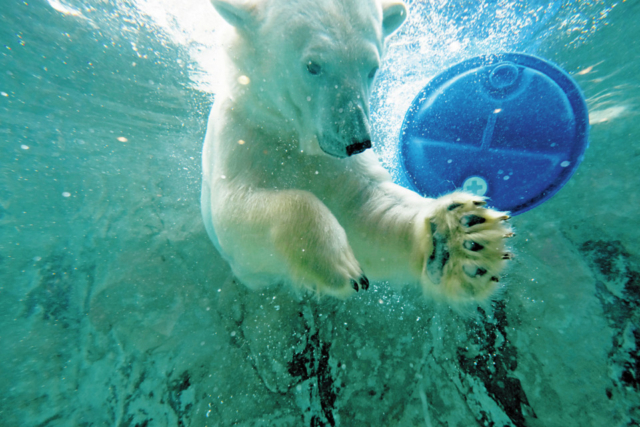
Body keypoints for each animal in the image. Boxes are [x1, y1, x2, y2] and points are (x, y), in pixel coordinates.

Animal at [202, 0, 512, 304]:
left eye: (372, 67)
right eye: (313, 65)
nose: (357, 142)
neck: (289, 133)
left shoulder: (337, 165)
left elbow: (368, 206)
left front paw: (459, 240)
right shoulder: (242, 136)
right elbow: (232, 210)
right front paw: (339, 266)